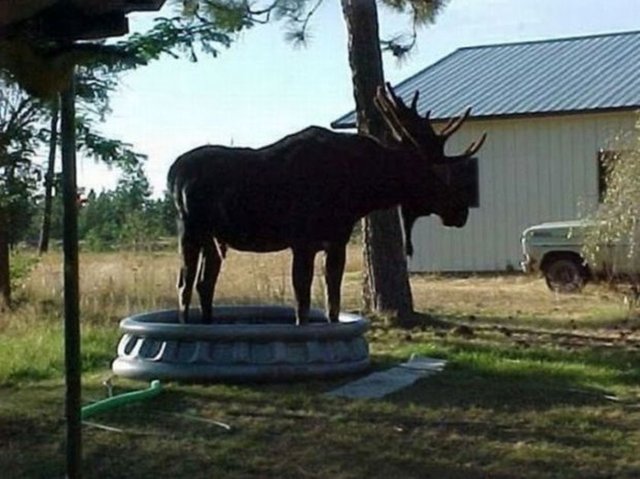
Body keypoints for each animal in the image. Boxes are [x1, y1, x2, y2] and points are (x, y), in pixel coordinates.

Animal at [168, 85, 482, 326]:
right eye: (430, 172)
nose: (460, 210)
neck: (358, 193)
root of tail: (172, 173)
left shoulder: (336, 242)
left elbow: (333, 303)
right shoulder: (302, 241)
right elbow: (303, 304)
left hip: (213, 237)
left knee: (204, 284)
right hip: (190, 229)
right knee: (184, 284)